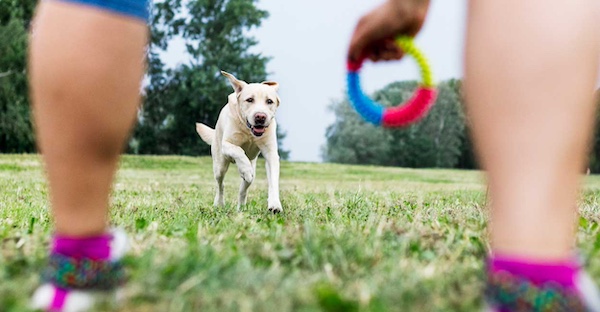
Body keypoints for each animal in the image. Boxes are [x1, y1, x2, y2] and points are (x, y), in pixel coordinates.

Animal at [195, 70, 284, 212]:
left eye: (269, 101)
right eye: (249, 100)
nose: (260, 117)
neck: (249, 131)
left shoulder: (271, 154)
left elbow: (273, 181)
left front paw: (275, 205)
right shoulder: (226, 145)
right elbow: (238, 150)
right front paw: (245, 169)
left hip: (251, 169)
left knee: (244, 188)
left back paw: (241, 207)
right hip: (219, 164)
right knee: (220, 185)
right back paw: (219, 203)